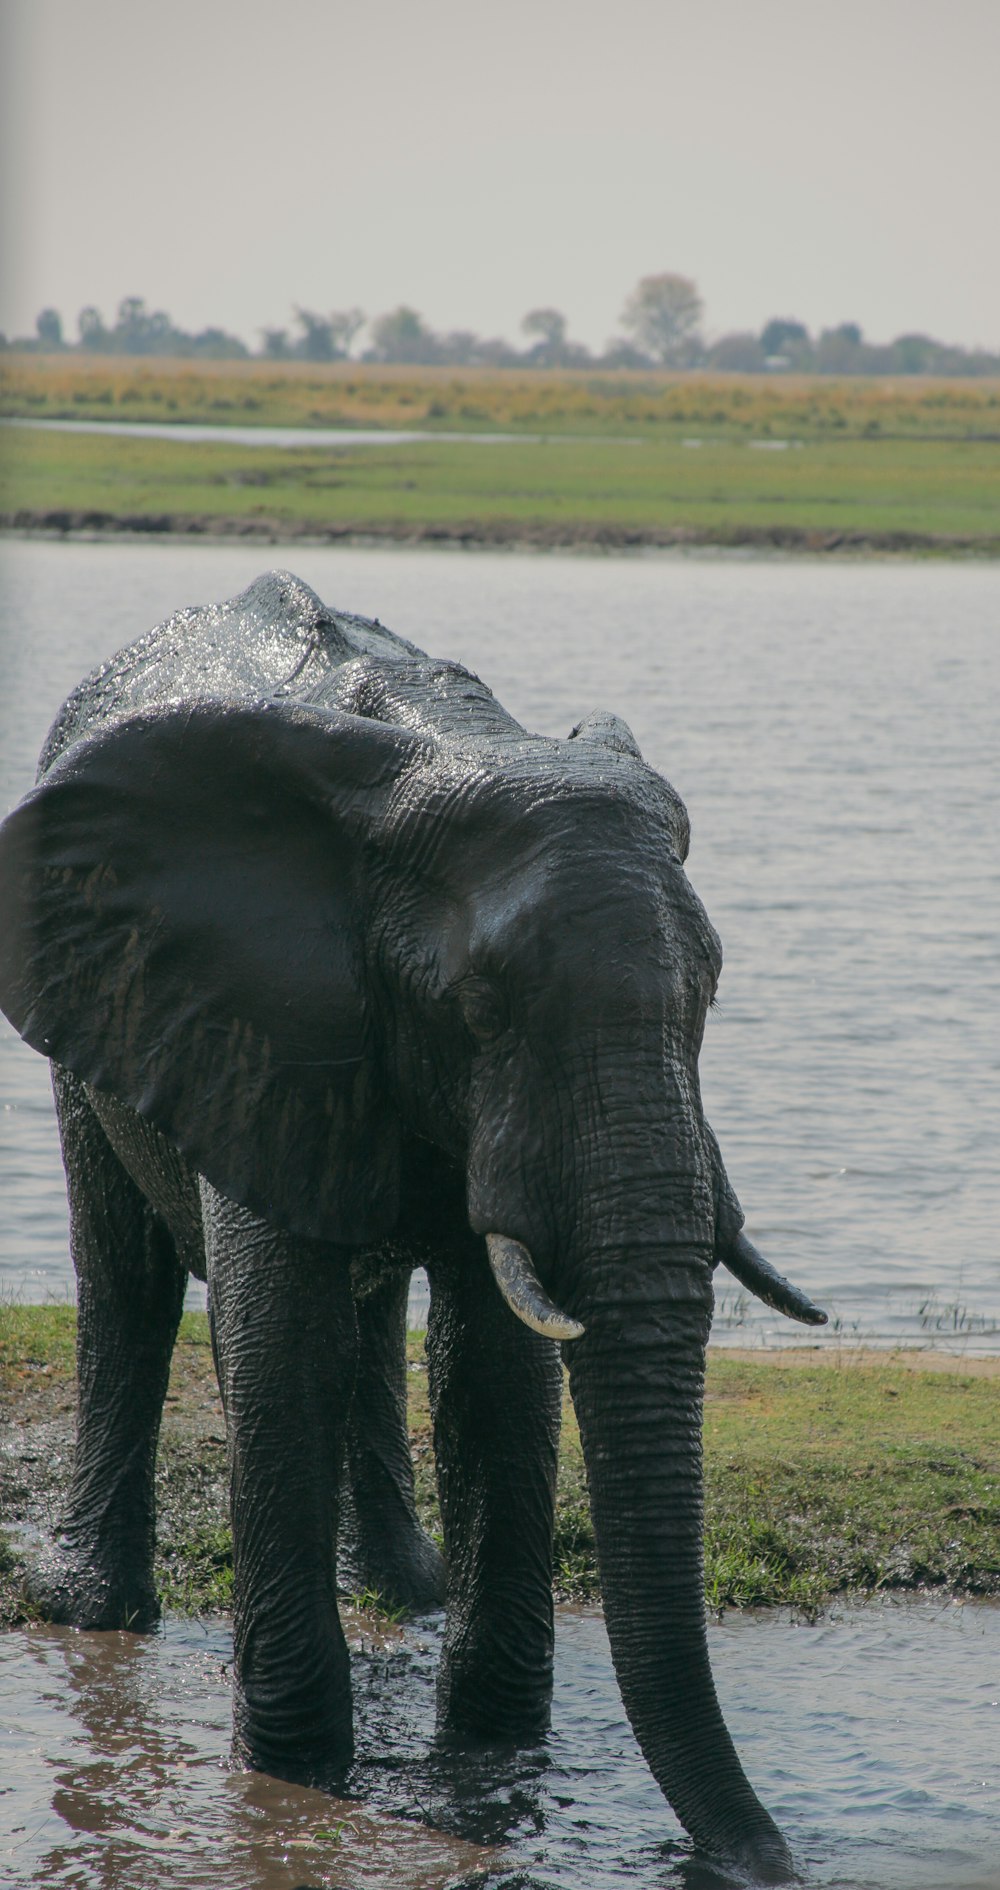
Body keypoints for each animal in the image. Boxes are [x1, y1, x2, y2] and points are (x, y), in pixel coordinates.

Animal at [0, 567, 827, 1882]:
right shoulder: (257, 1013)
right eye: (477, 1006)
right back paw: (94, 1610)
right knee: (126, 1275)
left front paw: (489, 1761)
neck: (458, 746)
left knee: (367, 1306)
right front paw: (298, 1777)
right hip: (88, 1000)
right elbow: (277, 1340)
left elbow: (496, 1363)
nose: (764, 1863)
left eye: (708, 992)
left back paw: (407, 1590)